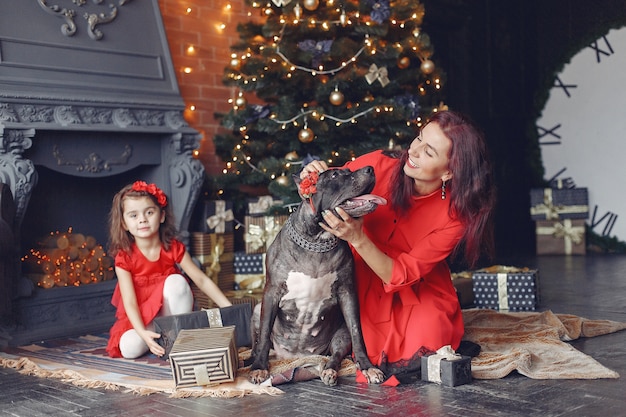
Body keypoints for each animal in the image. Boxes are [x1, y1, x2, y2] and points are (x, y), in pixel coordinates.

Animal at [247, 166, 386, 386]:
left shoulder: (347, 293)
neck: (318, 241)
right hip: (256, 310)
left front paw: (367, 366)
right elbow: (265, 333)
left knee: (335, 355)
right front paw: (259, 367)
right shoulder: (271, 292)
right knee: (258, 341)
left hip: (340, 334)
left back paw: (329, 371)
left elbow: (358, 332)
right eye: (335, 175)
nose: (369, 169)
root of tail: (296, 358)